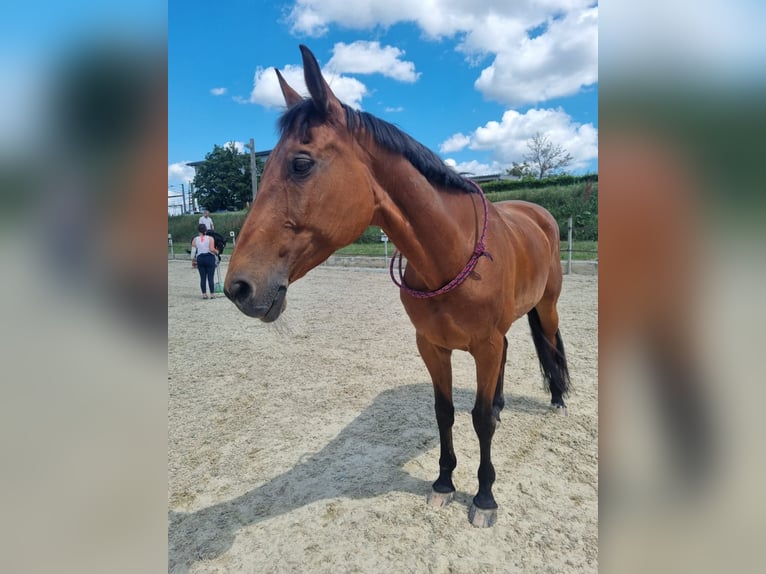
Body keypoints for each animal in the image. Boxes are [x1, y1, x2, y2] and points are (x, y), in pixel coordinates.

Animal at [224, 45, 570, 528]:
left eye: (300, 163)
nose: (238, 286)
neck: (452, 254)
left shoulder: (482, 345)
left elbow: (479, 419)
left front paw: (484, 496)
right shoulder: (432, 346)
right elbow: (445, 412)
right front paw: (443, 482)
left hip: (547, 307)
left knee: (551, 344)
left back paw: (557, 398)